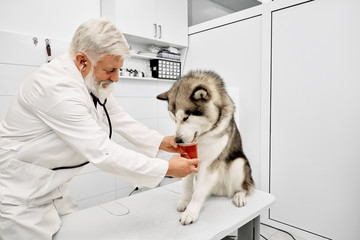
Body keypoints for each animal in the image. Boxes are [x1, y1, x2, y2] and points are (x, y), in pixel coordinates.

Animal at [156, 70, 255, 224]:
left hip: (238, 164)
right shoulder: (187, 161)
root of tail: (221, 191)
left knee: (244, 187)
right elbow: (186, 185)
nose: (178, 141)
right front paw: (184, 202)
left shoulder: (209, 164)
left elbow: (198, 194)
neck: (203, 136)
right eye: (174, 119)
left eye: (186, 117)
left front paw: (190, 212)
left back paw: (239, 195)